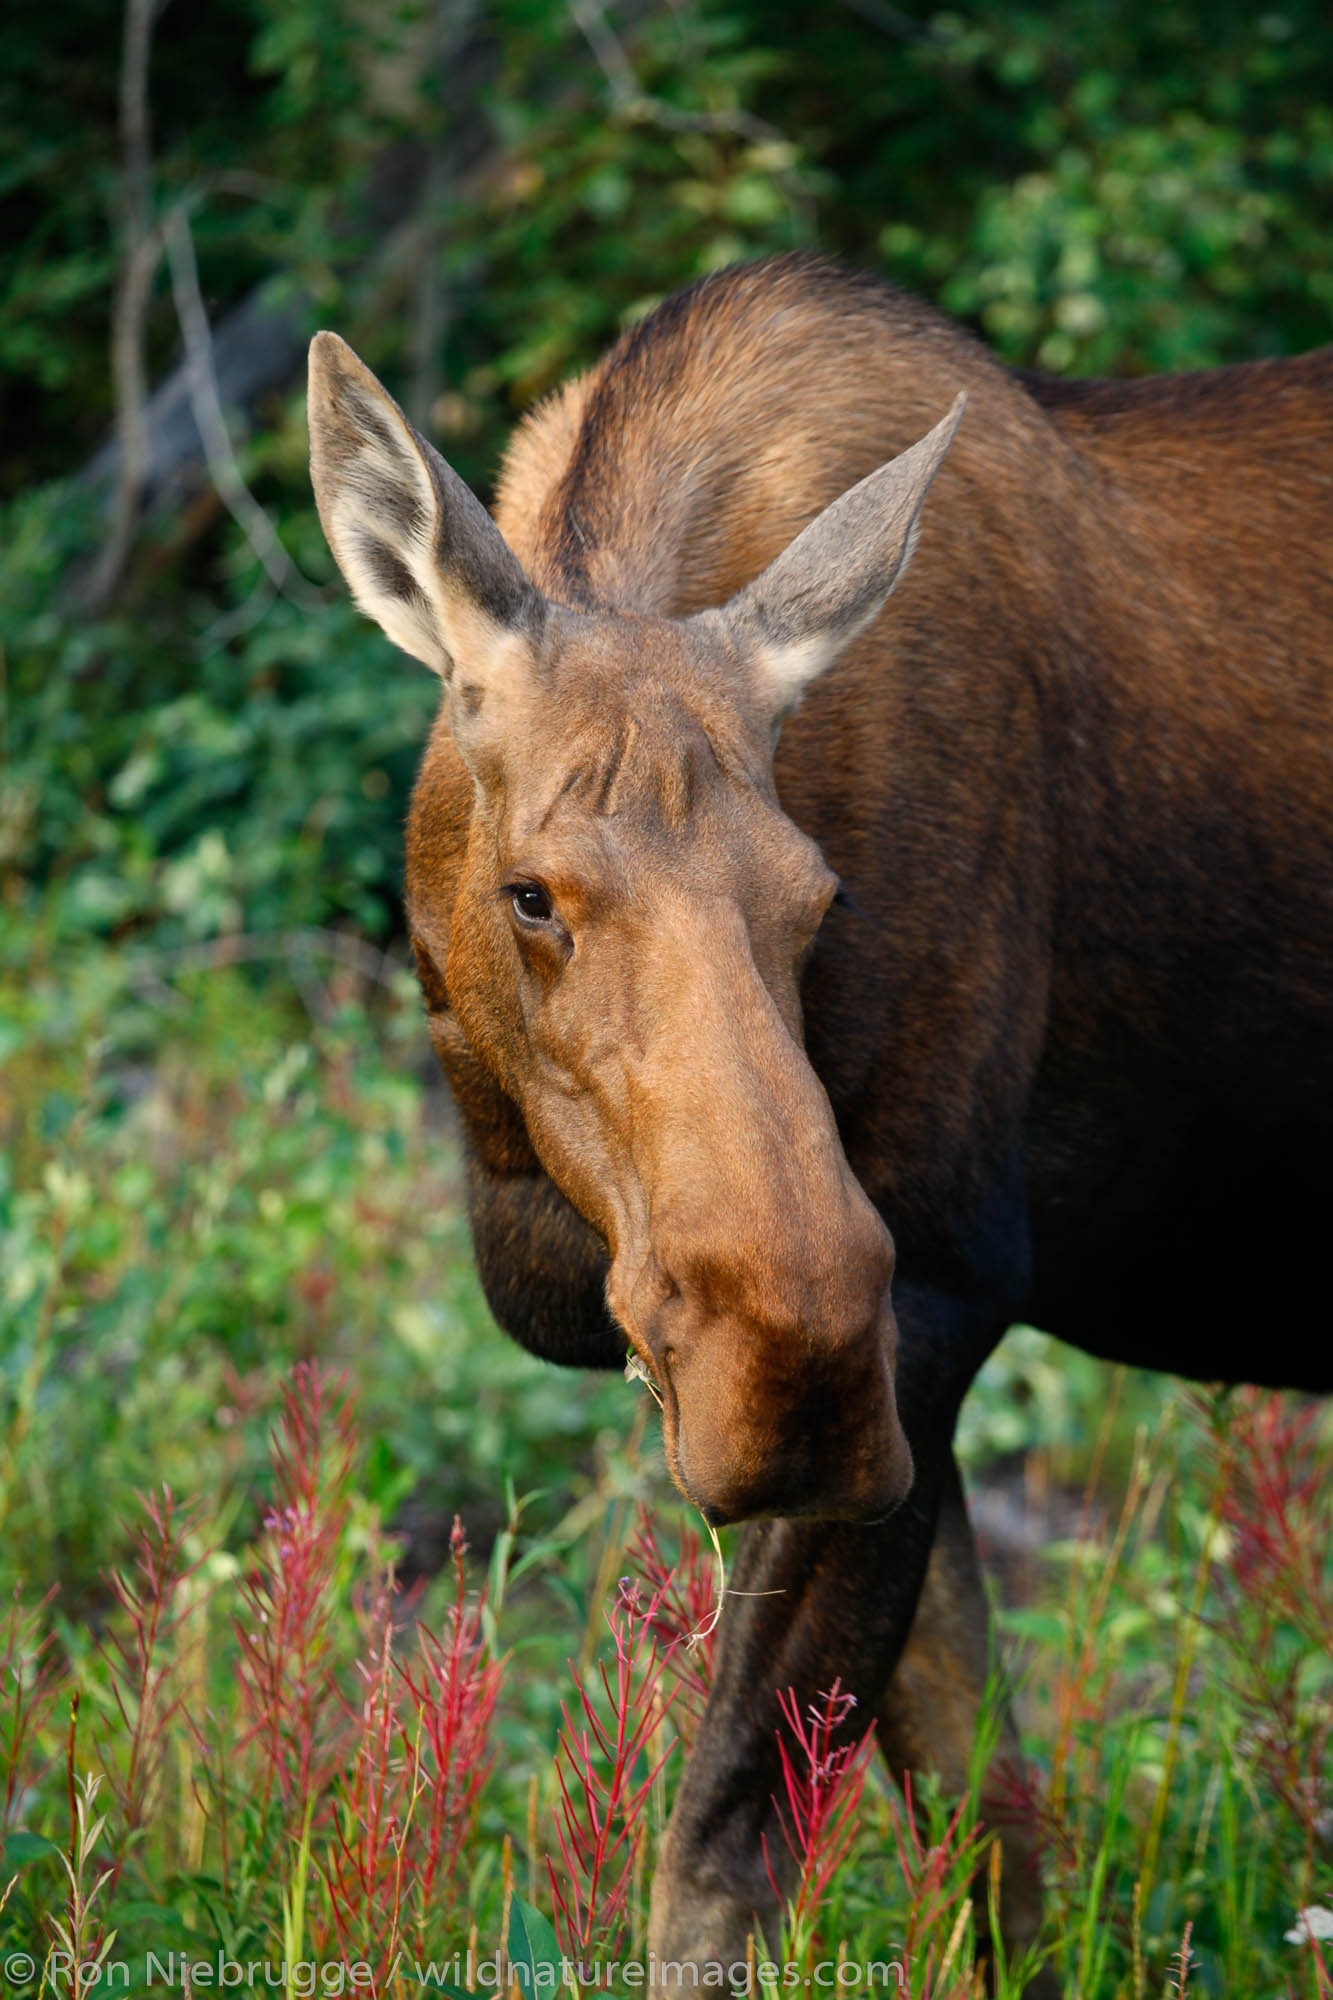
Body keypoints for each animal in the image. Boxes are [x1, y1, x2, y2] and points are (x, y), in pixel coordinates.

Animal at [306, 254, 1328, 1984]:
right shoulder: (910, 1393)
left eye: (819, 896)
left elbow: (719, 1866)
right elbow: (998, 1833)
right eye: (533, 893)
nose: (785, 1364)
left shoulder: (938, 1288)